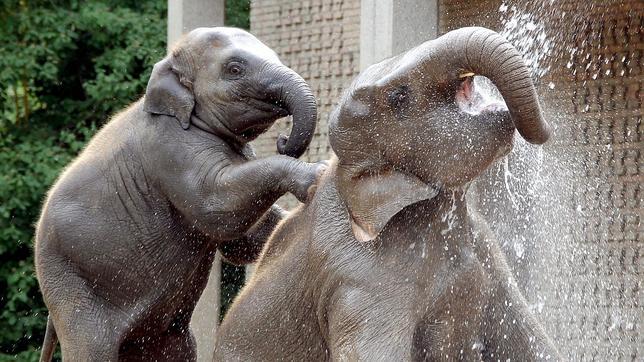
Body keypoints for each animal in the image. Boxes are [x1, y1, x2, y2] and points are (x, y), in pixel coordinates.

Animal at [34, 27, 328, 362]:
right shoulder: (170, 148)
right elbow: (217, 208)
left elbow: (242, 240)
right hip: (71, 284)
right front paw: (317, 175)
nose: (283, 140)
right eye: (234, 69)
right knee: (92, 346)